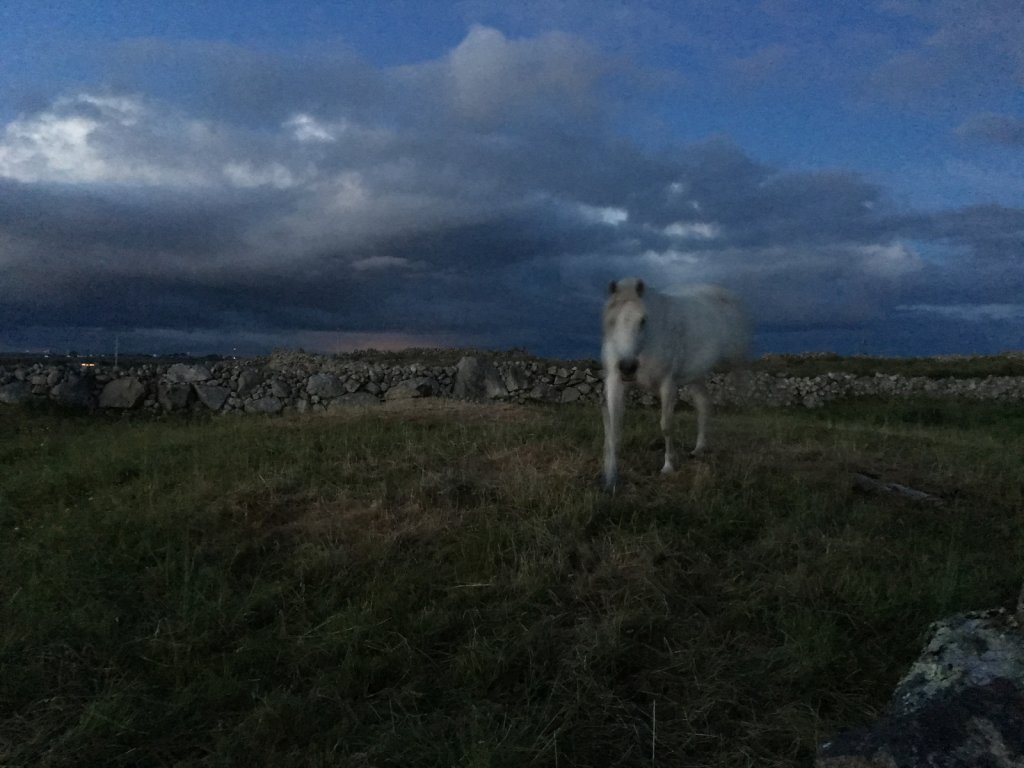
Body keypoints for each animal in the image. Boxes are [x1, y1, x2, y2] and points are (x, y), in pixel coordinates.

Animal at [598, 280, 753, 489]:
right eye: (611, 320)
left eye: (643, 320)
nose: (627, 367)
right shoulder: (615, 383)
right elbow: (614, 427)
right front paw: (611, 478)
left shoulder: (668, 385)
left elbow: (666, 426)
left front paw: (668, 467)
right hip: (696, 376)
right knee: (704, 405)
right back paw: (698, 449)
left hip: (737, 363)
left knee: (743, 392)